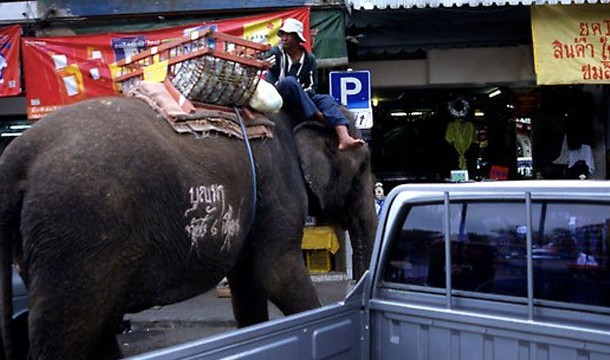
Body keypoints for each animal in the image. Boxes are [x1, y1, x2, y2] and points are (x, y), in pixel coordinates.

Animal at [0, 94, 376, 358]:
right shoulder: (277, 189)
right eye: (363, 169)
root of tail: (13, 160)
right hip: (76, 237)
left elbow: (247, 286)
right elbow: (276, 273)